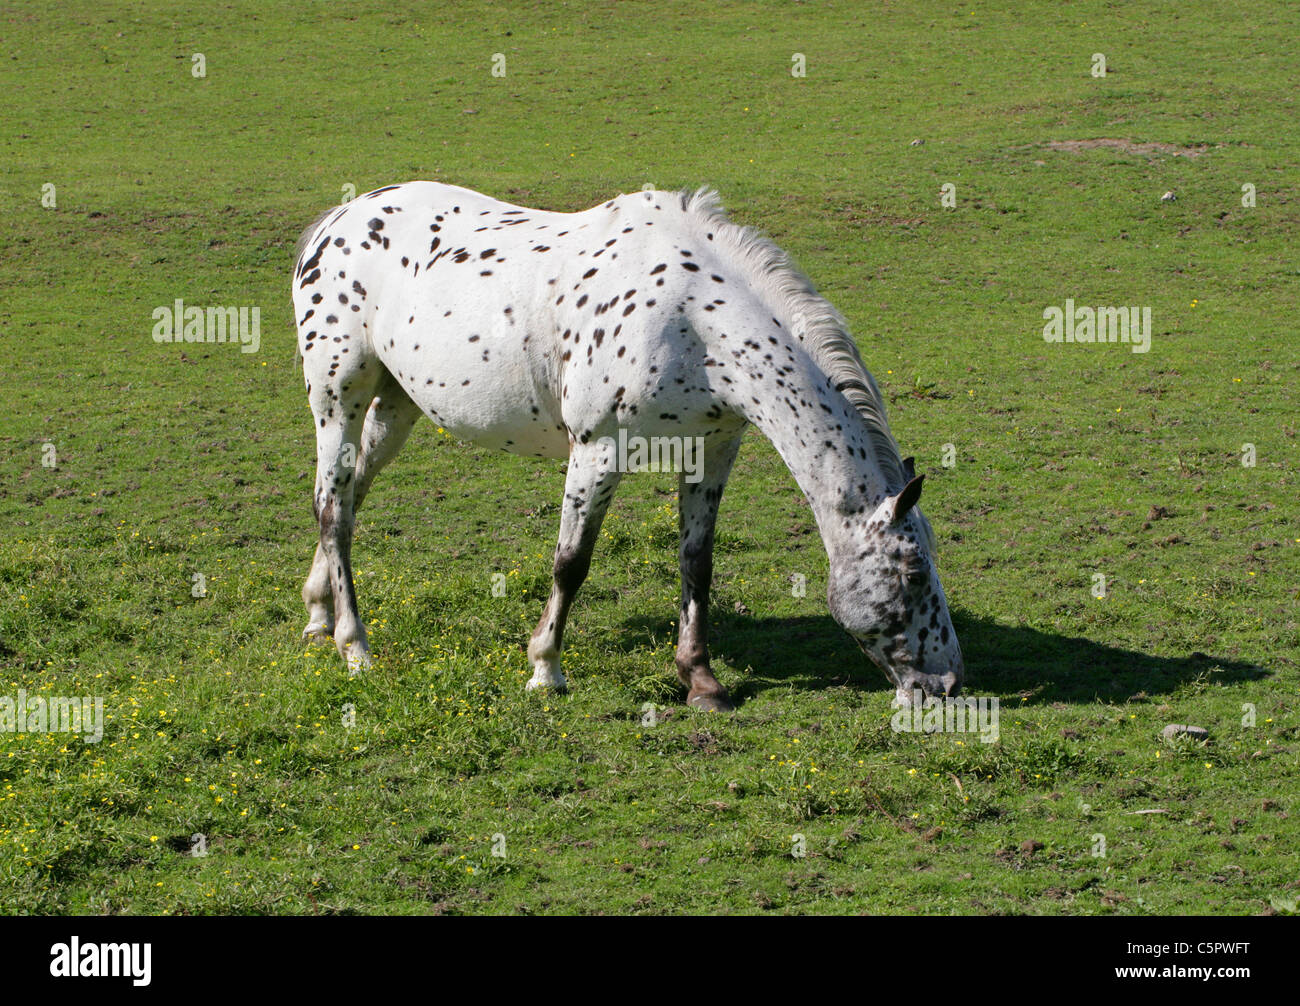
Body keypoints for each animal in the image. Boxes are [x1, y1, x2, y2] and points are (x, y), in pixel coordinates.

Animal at [291, 182, 964, 710]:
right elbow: (571, 562)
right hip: (337, 399)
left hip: (394, 407)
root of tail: (334, 222)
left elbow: (697, 562)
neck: (692, 319)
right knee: (332, 507)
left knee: (349, 498)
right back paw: (355, 647)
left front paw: (701, 681)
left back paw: (318, 616)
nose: (948, 685)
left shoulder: (712, 450)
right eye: (911, 570)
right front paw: (546, 669)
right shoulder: (596, 451)